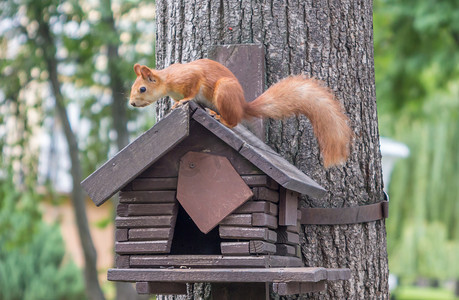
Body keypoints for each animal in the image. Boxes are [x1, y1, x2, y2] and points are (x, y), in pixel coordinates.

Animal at [131, 58, 354, 166]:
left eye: (142, 88)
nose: (132, 103)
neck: (168, 81)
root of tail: (242, 105)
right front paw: (175, 103)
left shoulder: (190, 76)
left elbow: (193, 88)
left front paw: (184, 100)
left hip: (224, 91)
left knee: (233, 120)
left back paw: (219, 117)